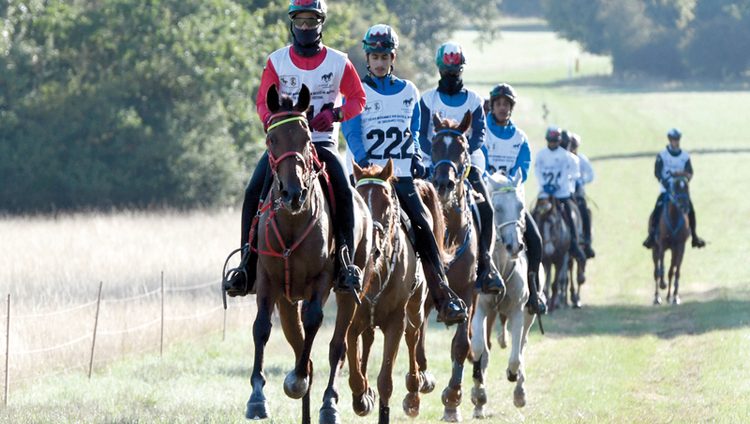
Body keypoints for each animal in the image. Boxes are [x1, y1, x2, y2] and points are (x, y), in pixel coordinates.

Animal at [247, 83, 374, 424]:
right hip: (287, 298)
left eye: (306, 138)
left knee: (337, 346)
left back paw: (328, 402)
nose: (293, 194)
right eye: (271, 139)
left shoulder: (322, 279)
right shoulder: (268, 280)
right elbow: (262, 327)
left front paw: (298, 380)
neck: (293, 220)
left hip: (348, 293)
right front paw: (257, 396)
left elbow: (316, 320)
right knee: (297, 337)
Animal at [350, 160, 444, 424]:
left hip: (415, 306)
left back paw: (413, 392)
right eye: (358, 201)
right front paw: (361, 395)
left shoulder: (394, 321)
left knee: (412, 336)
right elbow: (353, 357)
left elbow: (385, 381)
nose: (371, 241)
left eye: (386, 202)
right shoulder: (354, 316)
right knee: (368, 338)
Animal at [470, 172, 540, 418]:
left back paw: (519, 390)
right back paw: (479, 402)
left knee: (522, 344)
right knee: (486, 349)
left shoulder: (519, 311)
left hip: (529, 315)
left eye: (520, 206)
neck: (500, 266)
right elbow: (479, 349)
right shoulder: (480, 310)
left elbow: (516, 356)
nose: (515, 246)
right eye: (497, 208)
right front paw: (478, 395)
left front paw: (513, 377)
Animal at [652, 176, 692, 304]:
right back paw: (657, 297)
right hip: (655, 249)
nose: (684, 206)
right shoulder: (662, 245)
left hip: (673, 250)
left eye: (687, 188)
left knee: (671, 270)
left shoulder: (680, 247)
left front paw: (675, 297)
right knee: (656, 271)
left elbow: (676, 271)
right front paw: (662, 284)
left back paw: (670, 296)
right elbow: (661, 266)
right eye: (675, 188)